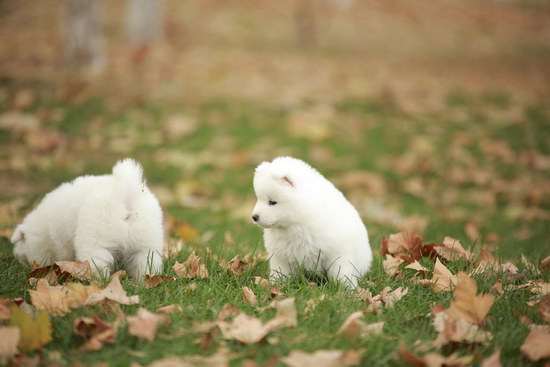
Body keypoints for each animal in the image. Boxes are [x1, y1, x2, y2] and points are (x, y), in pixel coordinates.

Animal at [11, 158, 164, 278]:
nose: (20, 260)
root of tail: (125, 193)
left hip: (97, 241)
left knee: (97, 264)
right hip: (147, 245)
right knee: (146, 264)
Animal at [254, 155, 376, 288]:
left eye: (272, 202)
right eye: (258, 199)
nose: (254, 217)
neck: (299, 222)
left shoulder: (339, 252)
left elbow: (341, 272)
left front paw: (346, 288)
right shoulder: (282, 256)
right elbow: (280, 272)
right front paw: (274, 285)